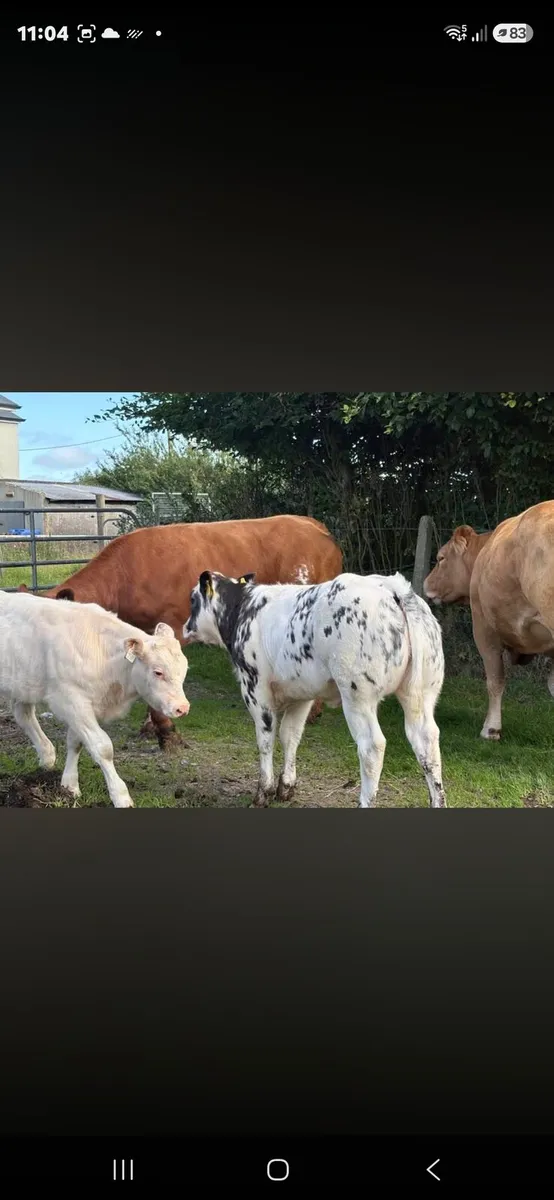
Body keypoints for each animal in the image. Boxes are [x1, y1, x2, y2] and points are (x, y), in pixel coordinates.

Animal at [0, 591, 189, 807]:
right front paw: (121, 796)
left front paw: (69, 786)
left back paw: (47, 756)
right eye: (158, 672)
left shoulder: (85, 706)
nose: (182, 708)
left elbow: (76, 742)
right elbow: (102, 747)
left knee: (23, 714)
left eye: (184, 669)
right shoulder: (71, 701)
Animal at [183, 569, 447, 809]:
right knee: (427, 741)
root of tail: (392, 586)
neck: (243, 610)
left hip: (358, 695)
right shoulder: (301, 694)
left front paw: (263, 793)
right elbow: (290, 735)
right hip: (422, 692)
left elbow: (265, 738)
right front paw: (285, 787)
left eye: (193, 598)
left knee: (372, 746)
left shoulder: (255, 687)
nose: (186, 626)